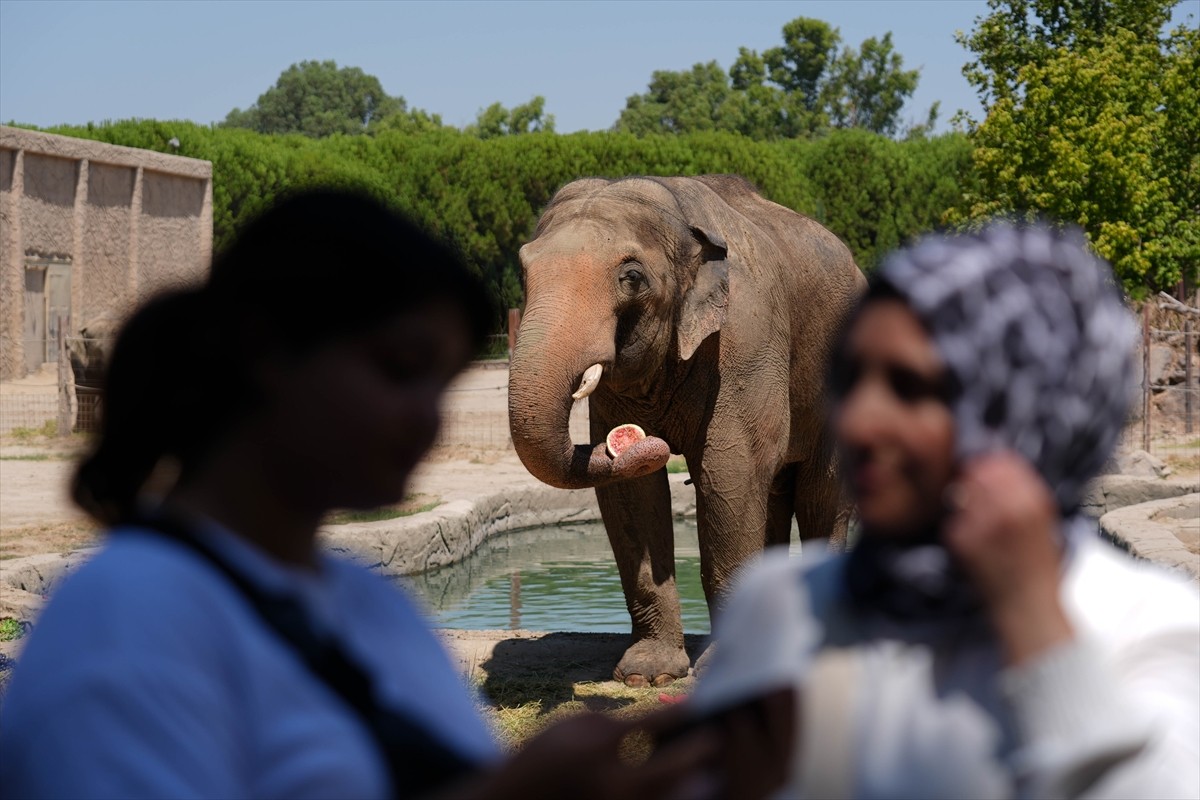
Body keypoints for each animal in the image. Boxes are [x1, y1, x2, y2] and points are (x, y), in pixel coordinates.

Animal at [506, 175, 864, 690]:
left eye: (631, 277)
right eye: (523, 271)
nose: (655, 444)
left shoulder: (743, 341)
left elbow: (728, 474)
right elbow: (632, 495)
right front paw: (646, 676)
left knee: (820, 492)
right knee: (776, 491)